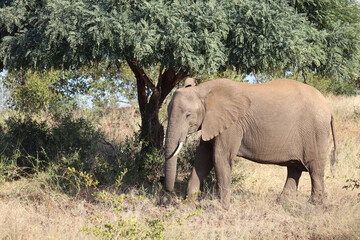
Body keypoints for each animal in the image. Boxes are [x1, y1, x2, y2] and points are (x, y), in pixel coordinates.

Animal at [164, 77, 338, 208]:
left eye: (188, 115)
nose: (169, 192)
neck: (203, 90)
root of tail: (329, 108)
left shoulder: (232, 124)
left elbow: (220, 158)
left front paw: (222, 209)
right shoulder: (213, 122)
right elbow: (203, 158)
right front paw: (188, 207)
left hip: (315, 131)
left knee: (314, 170)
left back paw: (314, 206)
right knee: (294, 168)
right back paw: (282, 204)